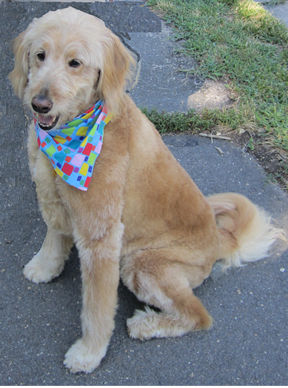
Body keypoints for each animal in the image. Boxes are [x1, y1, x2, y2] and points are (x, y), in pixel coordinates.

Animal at [9, 7, 282, 374]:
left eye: (75, 63)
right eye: (40, 55)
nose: (40, 104)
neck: (69, 133)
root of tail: (220, 239)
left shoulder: (101, 236)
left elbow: (97, 308)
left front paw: (89, 353)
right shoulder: (54, 199)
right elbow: (54, 236)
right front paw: (45, 267)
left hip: (141, 264)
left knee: (198, 316)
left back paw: (147, 324)